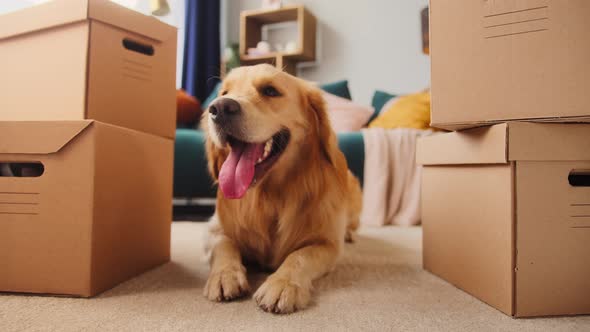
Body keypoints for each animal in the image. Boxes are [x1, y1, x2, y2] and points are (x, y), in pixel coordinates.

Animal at [202, 63, 360, 314]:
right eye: (224, 92)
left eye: (270, 91)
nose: (219, 108)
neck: (269, 196)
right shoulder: (214, 228)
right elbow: (224, 244)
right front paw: (224, 275)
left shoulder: (327, 243)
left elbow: (299, 255)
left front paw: (283, 284)